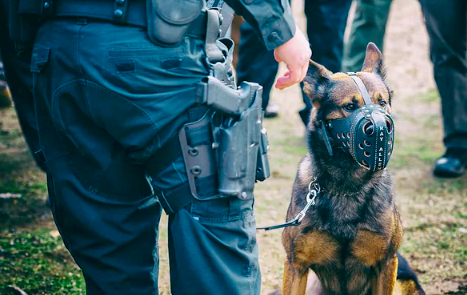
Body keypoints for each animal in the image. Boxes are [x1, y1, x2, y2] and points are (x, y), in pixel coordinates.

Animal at [280, 43, 426, 295]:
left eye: (382, 103)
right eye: (350, 106)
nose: (381, 128)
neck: (347, 187)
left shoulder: (386, 263)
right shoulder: (296, 264)